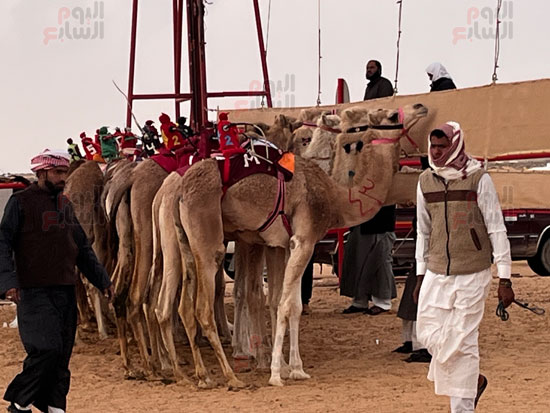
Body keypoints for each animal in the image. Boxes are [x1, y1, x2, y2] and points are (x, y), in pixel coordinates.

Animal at [178, 103, 432, 386]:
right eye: (391, 115)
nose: (420, 106)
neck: (336, 197)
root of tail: (181, 189)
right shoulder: (304, 240)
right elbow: (286, 304)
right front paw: (277, 374)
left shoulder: (285, 245)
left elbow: (291, 304)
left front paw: (295, 368)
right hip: (208, 239)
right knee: (203, 307)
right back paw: (229, 376)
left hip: (187, 242)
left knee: (186, 307)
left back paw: (200, 374)